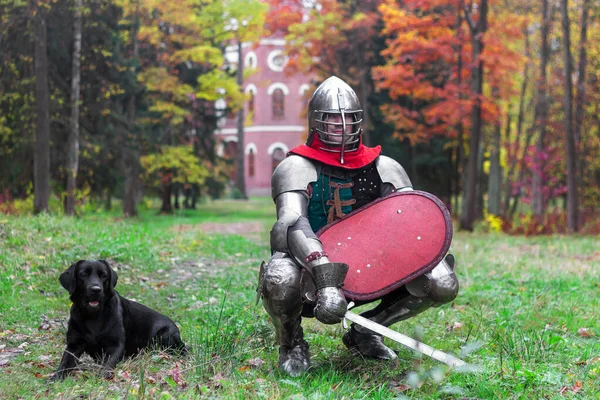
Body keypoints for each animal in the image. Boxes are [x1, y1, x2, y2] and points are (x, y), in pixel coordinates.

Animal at [52, 260, 186, 380]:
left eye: (104, 275)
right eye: (83, 274)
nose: (96, 289)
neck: (93, 316)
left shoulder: (116, 345)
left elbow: (108, 363)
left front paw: (103, 375)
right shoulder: (73, 345)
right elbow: (64, 363)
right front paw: (56, 377)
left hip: (165, 335)